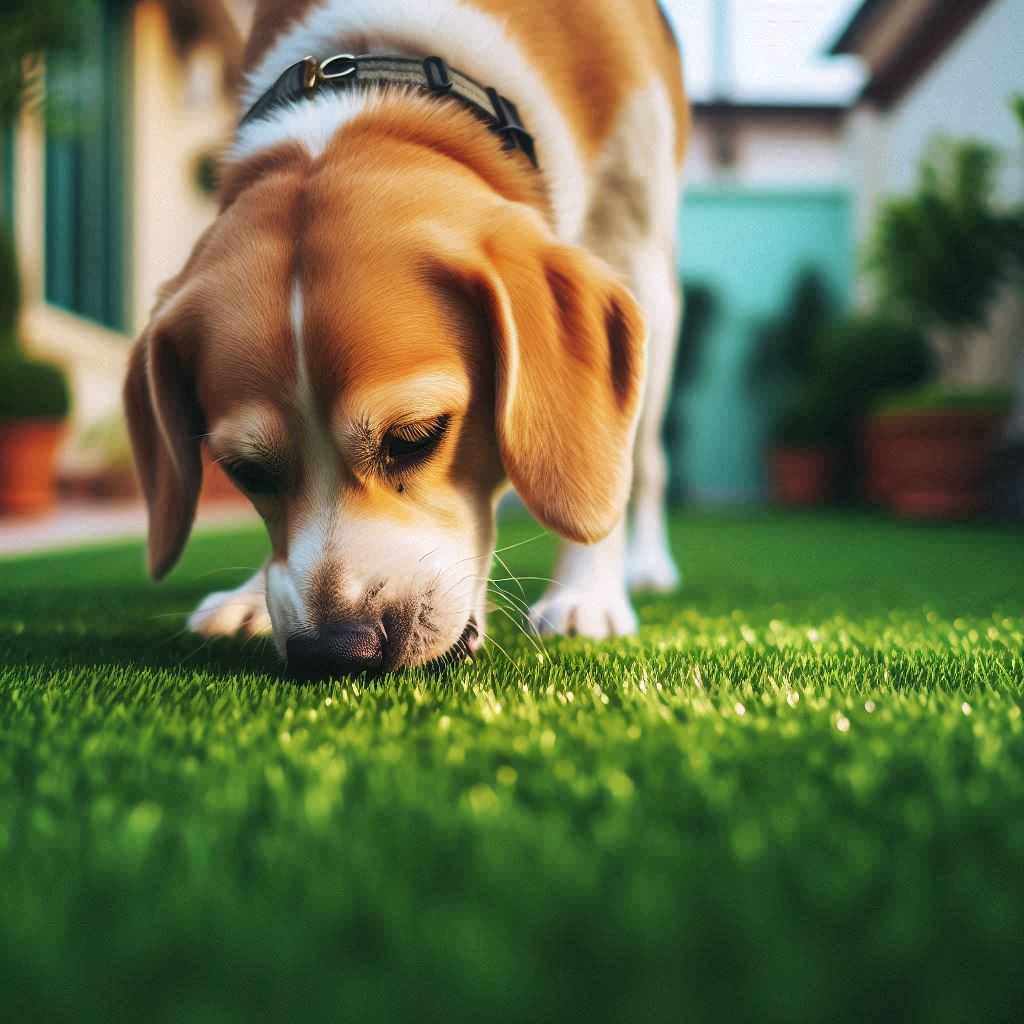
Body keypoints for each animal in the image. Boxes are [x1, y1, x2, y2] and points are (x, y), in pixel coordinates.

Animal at [125, 2, 688, 679]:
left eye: (417, 436)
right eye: (246, 472)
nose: (336, 650)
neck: (391, 63)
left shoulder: (629, 239)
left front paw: (586, 593)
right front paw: (250, 597)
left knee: (648, 459)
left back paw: (645, 567)